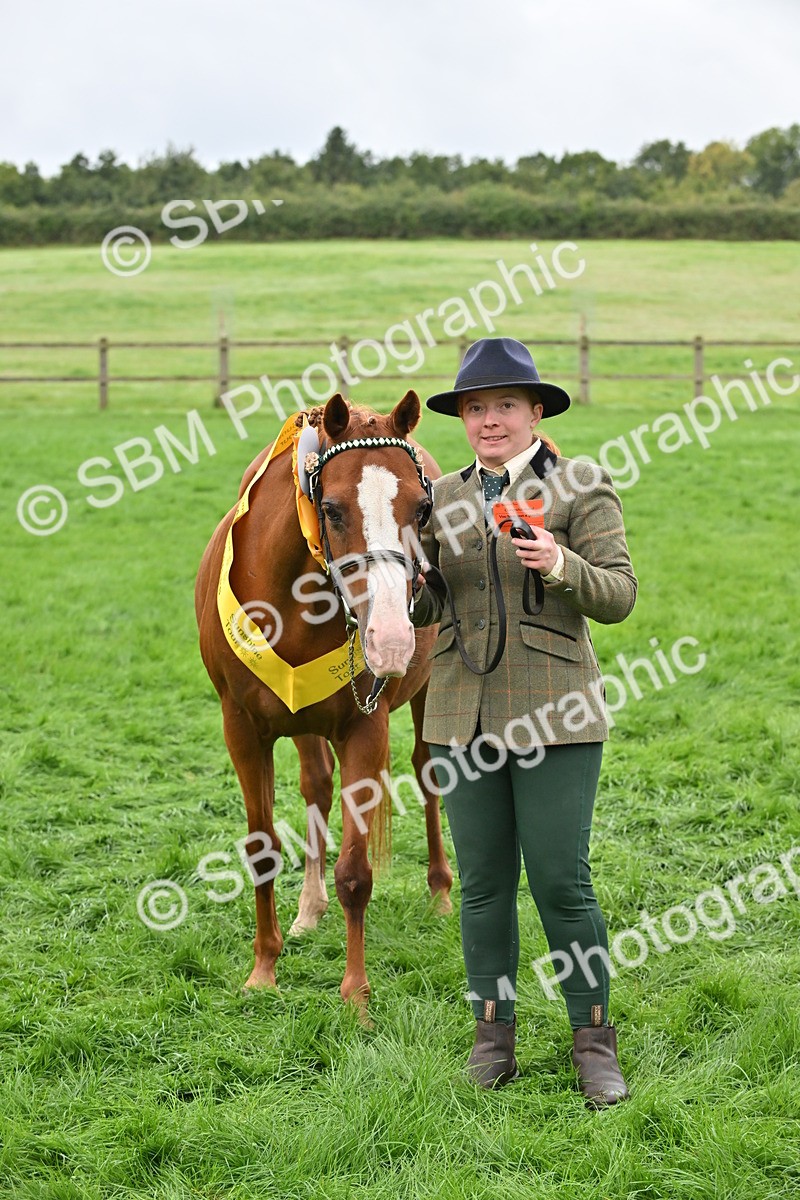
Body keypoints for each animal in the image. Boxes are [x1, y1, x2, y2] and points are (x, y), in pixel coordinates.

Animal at [194, 390, 453, 1013]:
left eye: (421, 510)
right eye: (332, 509)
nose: (392, 638)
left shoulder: (365, 729)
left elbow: (355, 871)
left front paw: (355, 993)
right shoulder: (242, 728)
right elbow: (262, 848)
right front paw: (264, 969)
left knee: (427, 772)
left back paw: (439, 893)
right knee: (316, 782)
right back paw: (308, 911)